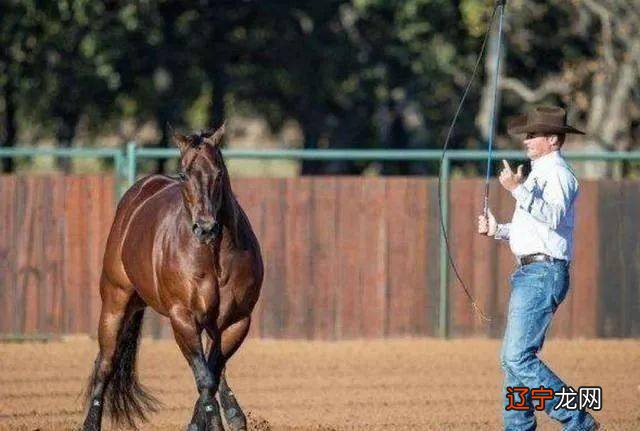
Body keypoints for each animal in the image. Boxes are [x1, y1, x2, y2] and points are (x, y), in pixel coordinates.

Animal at [82, 123, 262, 430]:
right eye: (185, 174)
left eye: (219, 173)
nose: (205, 227)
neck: (212, 256)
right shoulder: (183, 318)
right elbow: (205, 377)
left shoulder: (236, 321)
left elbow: (213, 373)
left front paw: (209, 421)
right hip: (115, 303)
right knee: (105, 363)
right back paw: (91, 423)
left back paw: (234, 413)